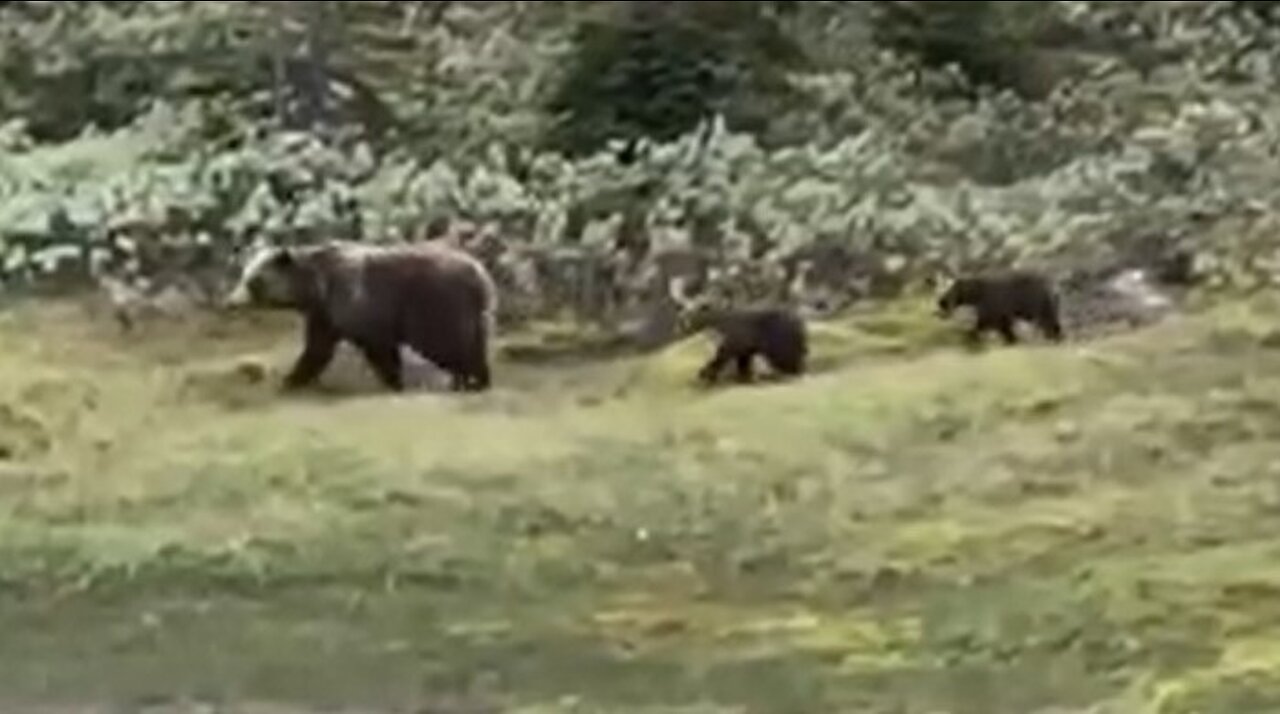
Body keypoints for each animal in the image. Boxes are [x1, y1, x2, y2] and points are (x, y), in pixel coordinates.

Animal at [225, 243, 494, 394]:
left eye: (254, 281)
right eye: (243, 275)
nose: (230, 302)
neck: (317, 288)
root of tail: (483, 277)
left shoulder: (359, 303)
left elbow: (379, 348)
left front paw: (395, 382)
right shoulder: (325, 314)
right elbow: (317, 350)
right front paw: (292, 380)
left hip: (440, 306)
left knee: (453, 346)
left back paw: (472, 381)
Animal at [936, 269, 1064, 348]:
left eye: (949, 290)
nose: (941, 302)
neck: (977, 293)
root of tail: (1055, 287)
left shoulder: (993, 303)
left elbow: (987, 321)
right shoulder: (1000, 308)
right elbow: (1002, 325)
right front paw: (1011, 339)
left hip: (1040, 302)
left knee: (1047, 321)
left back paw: (1053, 338)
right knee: (1051, 322)